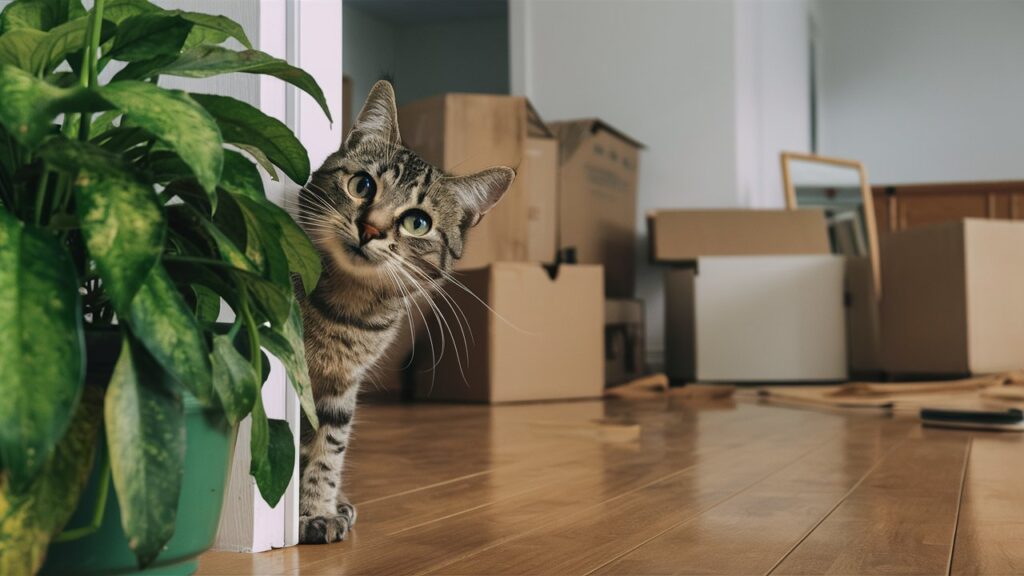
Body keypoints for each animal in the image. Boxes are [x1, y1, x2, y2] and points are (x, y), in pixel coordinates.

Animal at [296, 80, 520, 541]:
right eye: (362, 185)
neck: (347, 308)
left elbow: (327, 449)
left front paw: (317, 508)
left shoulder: (340, 388)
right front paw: (305, 515)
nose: (370, 228)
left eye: (418, 223)